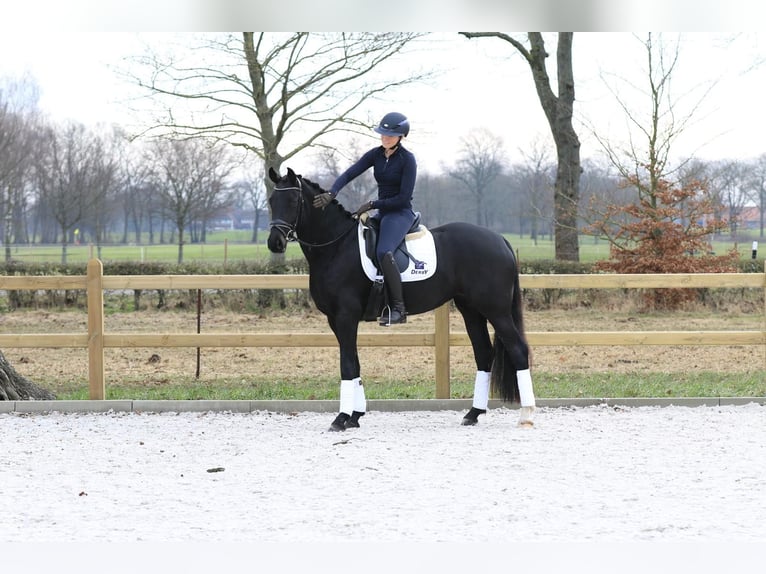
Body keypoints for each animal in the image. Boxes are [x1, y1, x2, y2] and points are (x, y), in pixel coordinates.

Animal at [268, 168, 536, 432]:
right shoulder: (335, 320)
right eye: (271, 201)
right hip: (471, 310)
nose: (275, 243)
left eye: (292, 201)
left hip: (496, 311)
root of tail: (500, 240)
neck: (337, 246)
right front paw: (355, 416)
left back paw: (526, 414)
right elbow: (354, 363)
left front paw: (341, 418)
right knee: (484, 353)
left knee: (518, 350)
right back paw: (473, 414)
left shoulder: (346, 317)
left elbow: (347, 365)